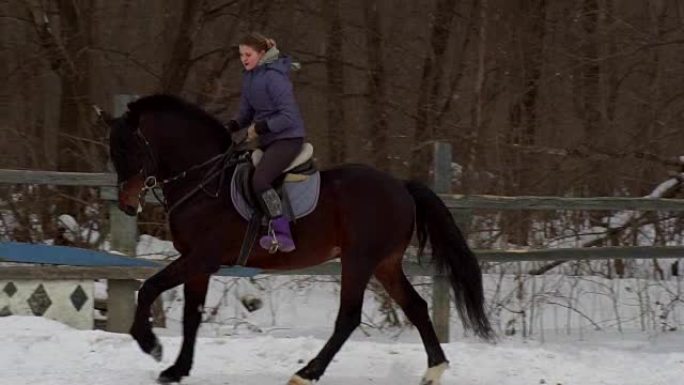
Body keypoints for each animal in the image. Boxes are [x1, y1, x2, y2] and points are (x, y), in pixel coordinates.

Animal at [104, 94, 494, 384]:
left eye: (130, 151)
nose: (126, 204)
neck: (205, 183)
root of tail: (401, 187)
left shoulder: (201, 258)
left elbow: (149, 288)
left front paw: (150, 344)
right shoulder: (197, 264)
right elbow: (191, 316)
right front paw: (176, 369)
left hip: (358, 260)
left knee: (349, 317)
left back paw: (306, 373)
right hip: (385, 264)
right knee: (415, 306)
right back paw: (434, 370)